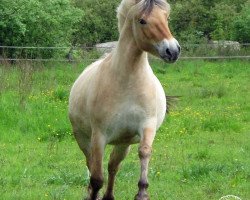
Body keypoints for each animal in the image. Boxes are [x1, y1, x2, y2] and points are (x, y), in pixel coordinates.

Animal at [69, 0, 181, 199]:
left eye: (166, 18)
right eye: (142, 20)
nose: (173, 51)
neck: (128, 83)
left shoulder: (147, 125)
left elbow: (144, 152)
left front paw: (142, 192)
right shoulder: (99, 136)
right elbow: (96, 178)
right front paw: (93, 193)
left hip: (123, 143)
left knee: (113, 166)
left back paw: (109, 196)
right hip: (83, 138)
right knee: (91, 164)